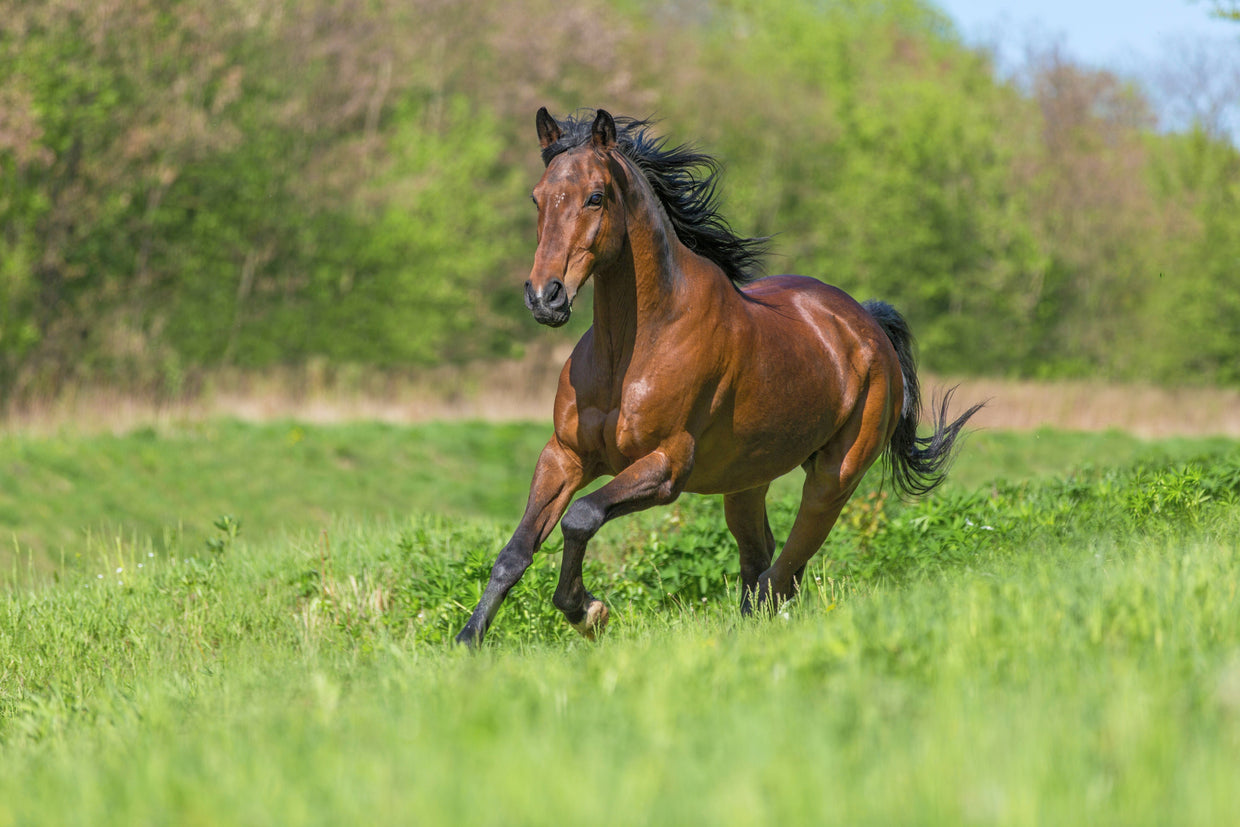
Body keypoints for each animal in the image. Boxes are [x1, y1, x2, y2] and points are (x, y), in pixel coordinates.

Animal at [455, 108, 982, 646]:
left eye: (595, 196)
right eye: (537, 197)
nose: (545, 297)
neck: (631, 350)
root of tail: (868, 324)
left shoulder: (666, 466)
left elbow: (581, 517)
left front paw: (589, 610)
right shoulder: (565, 455)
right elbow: (515, 552)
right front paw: (469, 639)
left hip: (834, 477)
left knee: (784, 570)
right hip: (746, 480)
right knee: (761, 557)